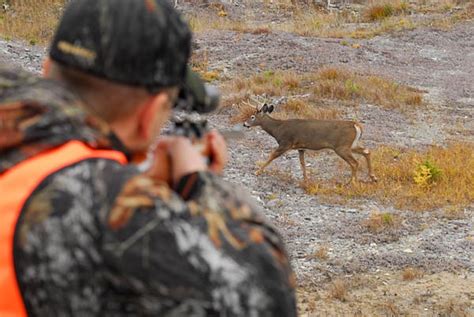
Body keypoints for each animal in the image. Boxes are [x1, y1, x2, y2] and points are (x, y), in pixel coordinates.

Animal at [244, 102, 378, 184]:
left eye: (252, 117)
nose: (244, 124)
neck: (278, 129)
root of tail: (356, 125)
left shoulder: (285, 143)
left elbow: (272, 155)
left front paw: (257, 171)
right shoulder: (301, 147)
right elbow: (302, 163)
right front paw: (305, 179)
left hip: (342, 147)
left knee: (355, 162)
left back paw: (351, 182)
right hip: (351, 145)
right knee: (367, 151)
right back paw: (373, 177)